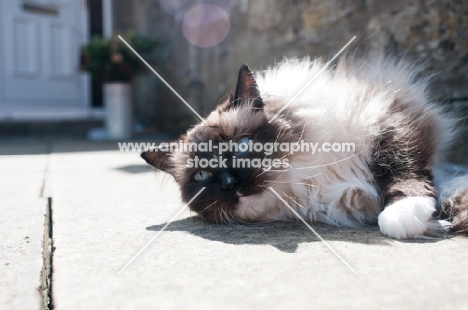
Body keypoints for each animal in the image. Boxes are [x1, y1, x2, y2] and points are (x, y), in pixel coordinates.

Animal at [141, 55, 468, 240]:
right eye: (202, 177)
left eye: (243, 145)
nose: (231, 184)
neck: (307, 182)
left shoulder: (391, 122)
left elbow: (402, 169)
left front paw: (403, 216)